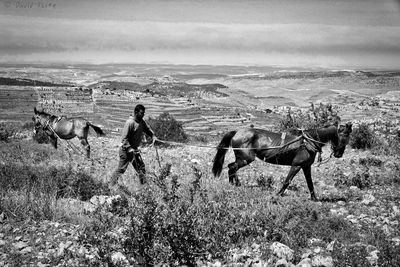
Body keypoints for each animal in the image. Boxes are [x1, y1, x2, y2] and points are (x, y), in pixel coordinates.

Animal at [211, 122, 352, 200]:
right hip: (246, 159)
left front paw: (314, 198)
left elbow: (310, 183)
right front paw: (278, 194)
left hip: (242, 158)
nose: (339, 154)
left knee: (231, 167)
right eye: (344, 135)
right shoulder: (296, 165)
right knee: (232, 167)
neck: (308, 141)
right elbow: (287, 181)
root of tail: (237, 132)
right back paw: (235, 184)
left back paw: (234, 184)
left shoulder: (306, 166)